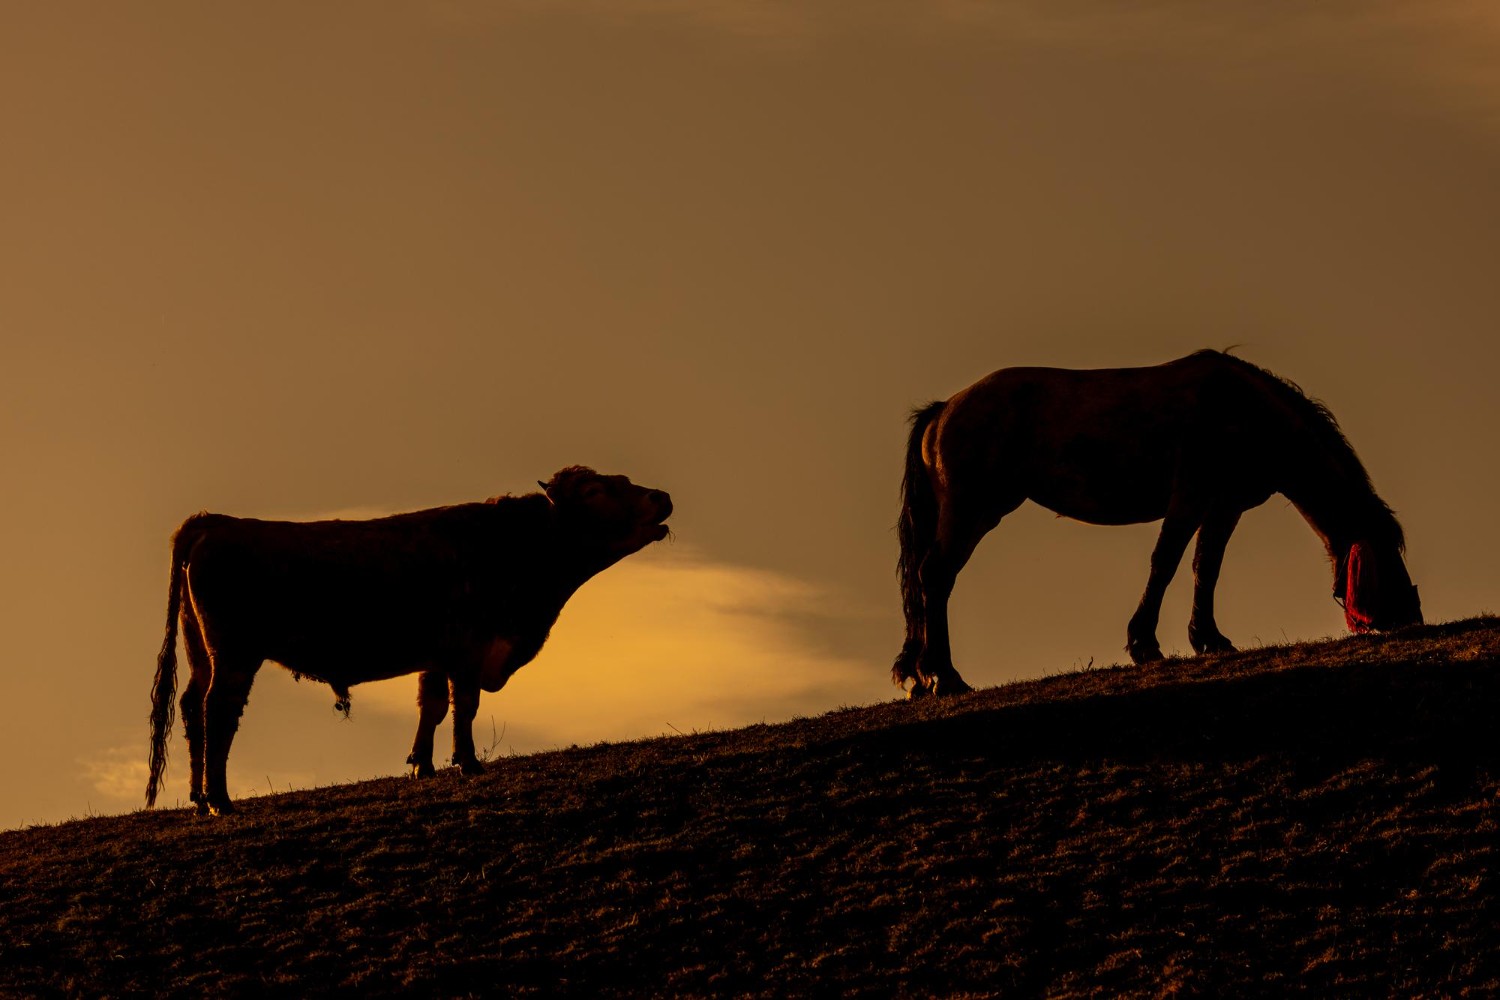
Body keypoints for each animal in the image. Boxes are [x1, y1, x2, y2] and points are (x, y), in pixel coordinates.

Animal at [146, 466, 673, 816]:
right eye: (596, 490)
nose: (662, 497)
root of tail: (216, 520)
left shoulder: (437, 654)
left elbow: (432, 705)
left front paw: (422, 765)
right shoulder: (467, 649)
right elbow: (465, 707)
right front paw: (468, 763)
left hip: (201, 651)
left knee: (191, 707)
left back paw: (198, 797)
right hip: (234, 653)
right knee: (218, 711)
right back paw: (220, 800)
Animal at [893, 350, 1422, 697]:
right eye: (1386, 555)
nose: (1410, 618)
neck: (1244, 410)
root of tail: (944, 409)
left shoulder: (1223, 507)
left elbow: (1206, 569)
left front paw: (1209, 639)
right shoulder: (1188, 498)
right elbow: (1165, 563)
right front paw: (1144, 644)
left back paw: (923, 675)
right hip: (972, 511)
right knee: (934, 576)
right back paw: (944, 676)